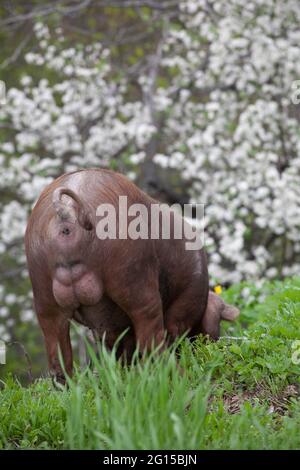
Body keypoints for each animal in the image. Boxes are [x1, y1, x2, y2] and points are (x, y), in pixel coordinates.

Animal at [24, 167, 238, 384]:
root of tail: (67, 213)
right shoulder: (184, 302)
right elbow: (173, 332)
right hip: (132, 274)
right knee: (151, 336)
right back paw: (179, 377)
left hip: (42, 288)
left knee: (57, 352)